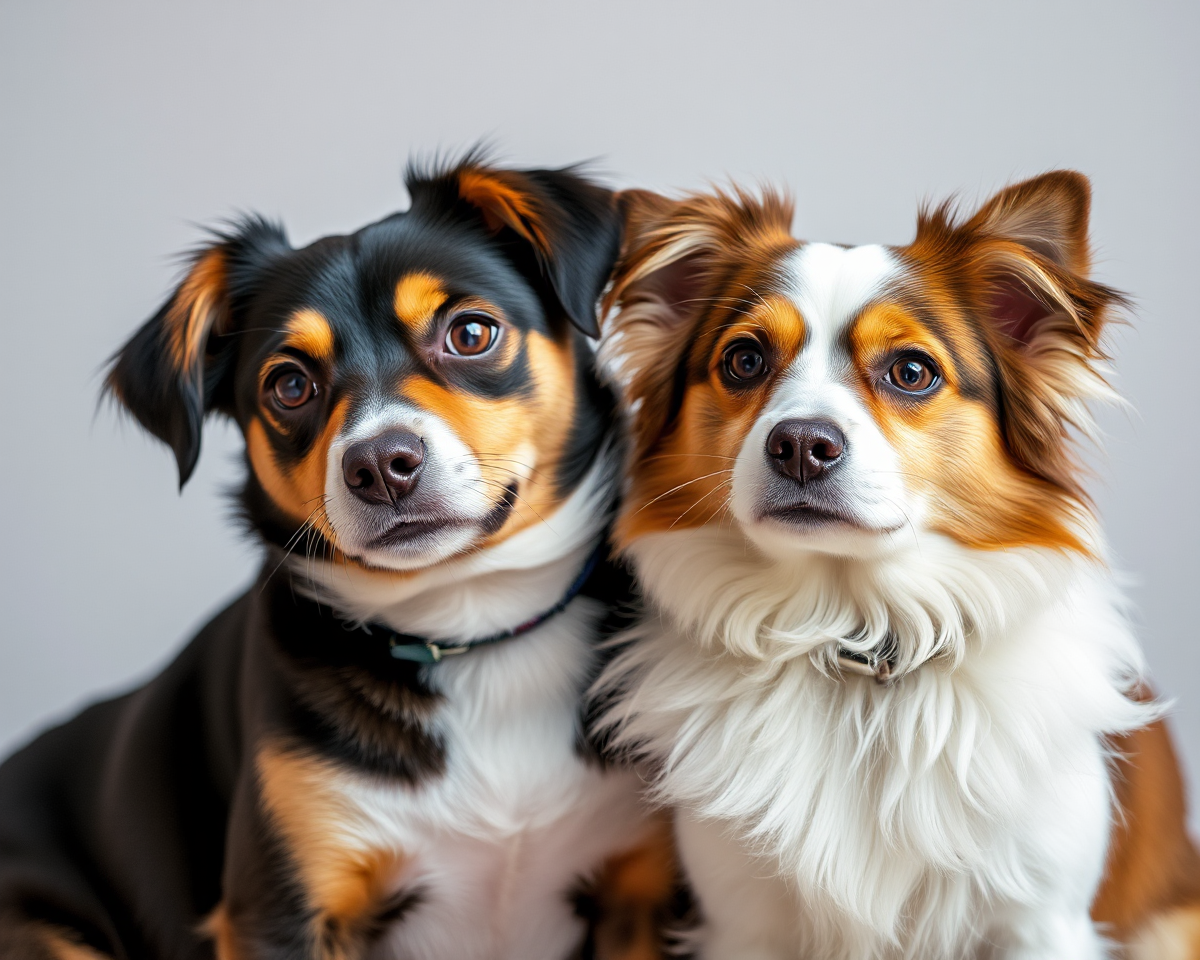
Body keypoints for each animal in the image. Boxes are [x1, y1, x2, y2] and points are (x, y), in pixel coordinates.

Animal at [0, 157, 676, 960]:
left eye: (470, 332)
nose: (381, 464)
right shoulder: (282, 910)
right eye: (290, 384)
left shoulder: (637, 896)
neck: (470, 633)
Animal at [595, 174, 1200, 960]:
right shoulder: (741, 921)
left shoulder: (1042, 922)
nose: (800, 445)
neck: (857, 635)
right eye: (744, 360)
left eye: (911, 371)